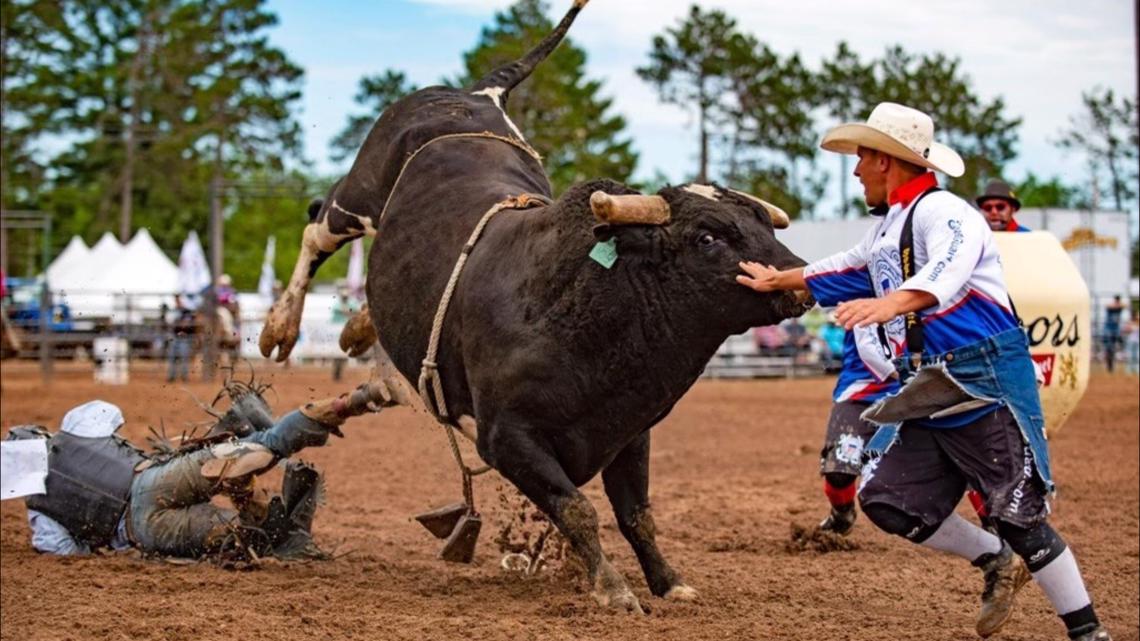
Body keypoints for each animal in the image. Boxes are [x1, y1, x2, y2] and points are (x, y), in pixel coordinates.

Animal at [261, 0, 811, 606]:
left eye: (763, 224)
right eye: (709, 236)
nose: (798, 277)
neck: (581, 314)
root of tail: (477, 95)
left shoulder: (628, 432)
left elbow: (636, 515)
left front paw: (668, 582)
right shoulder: (508, 439)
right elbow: (577, 508)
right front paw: (612, 588)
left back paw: (356, 328)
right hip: (358, 195)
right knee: (316, 230)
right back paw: (280, 327)